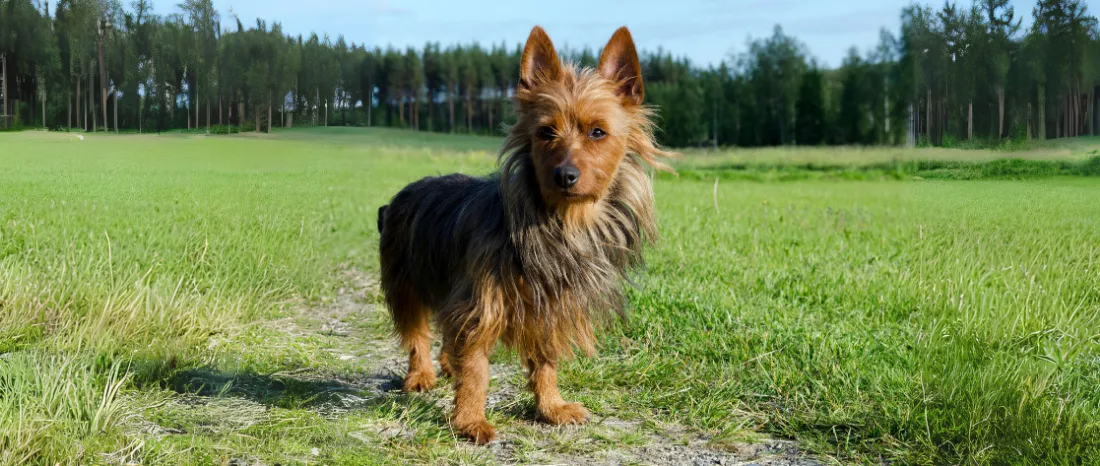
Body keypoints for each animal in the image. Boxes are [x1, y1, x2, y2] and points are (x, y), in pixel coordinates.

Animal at [376, 24, 668, 444]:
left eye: (598, 132)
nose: (565, 175)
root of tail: (398, 198)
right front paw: (470, 419)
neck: (561, 223)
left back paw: (447, 365)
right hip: (406, 282)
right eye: (546, 132)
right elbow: (476, 368)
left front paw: (550, 406)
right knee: (417, 334)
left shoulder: (550, 305)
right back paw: (421, 375)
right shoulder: (482, 302)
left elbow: (545, 361)